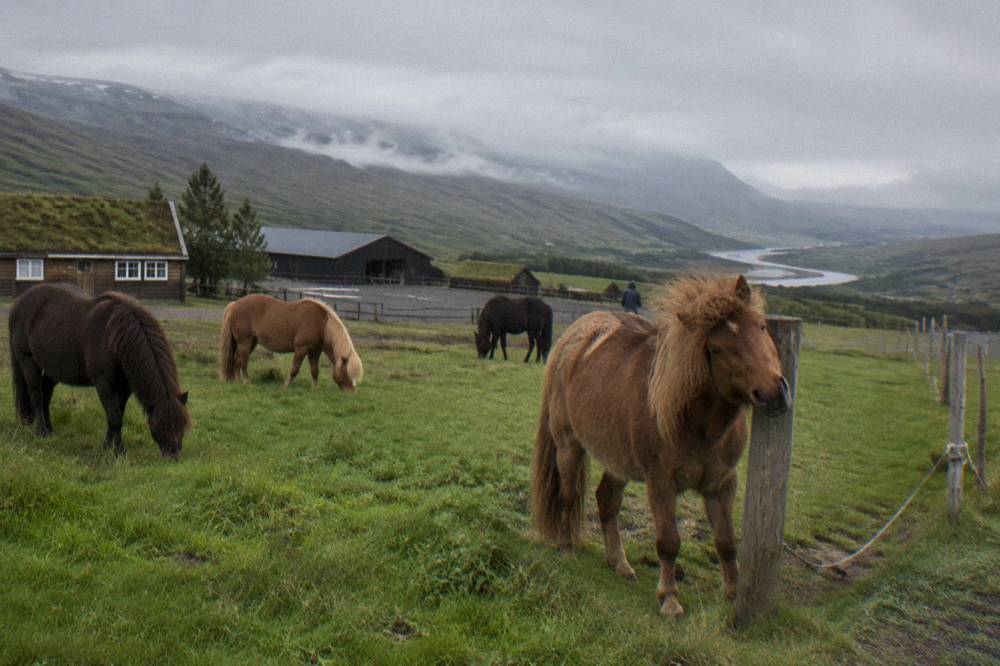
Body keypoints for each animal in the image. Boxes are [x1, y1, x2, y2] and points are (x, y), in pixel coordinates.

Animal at [8, 283, 191, 458]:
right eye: (156, 426)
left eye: (183, 427)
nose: (174, 457)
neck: (115, 339)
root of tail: (18, 303)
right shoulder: (104, 384)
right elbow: (114, 418)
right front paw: (118, 451)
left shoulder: (124, 388)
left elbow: (118, 415)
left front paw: (108, 446)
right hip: (28, 361)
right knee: (36, 395)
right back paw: (41, 431)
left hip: (54, 369)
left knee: (46, 394)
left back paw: (50, 430)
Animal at [219, 294, 363, 390]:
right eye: (347, 372)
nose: (351, 392)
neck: (321, 324)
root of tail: (235, 305)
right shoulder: (301, 349)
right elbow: (295, 369)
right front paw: (286, 385)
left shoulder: (314, 352)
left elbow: (315, 370)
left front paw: (316, 388)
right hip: (245, 342)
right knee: (242, 362)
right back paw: (246, 382)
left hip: (250, 343)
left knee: (236, 361)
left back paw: (238, 381)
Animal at [531, 275, 790, 617]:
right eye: (716, 348)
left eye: (761, 327)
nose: (773, 394)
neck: (696, 424)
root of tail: (575, 335)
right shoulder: (661, 483)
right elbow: (669, 542)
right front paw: (669, 598)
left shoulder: (721, 483)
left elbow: (726, 541)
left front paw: (734, 594)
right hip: (568, 445)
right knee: (568, 496)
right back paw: (567, 548)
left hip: (620, 458)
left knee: (607, 499)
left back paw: (619, 563)